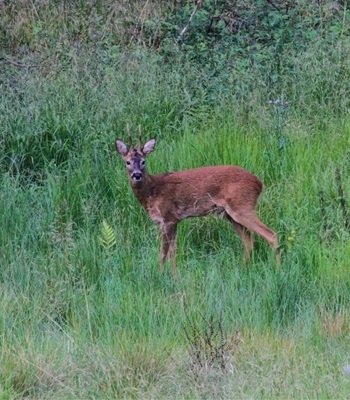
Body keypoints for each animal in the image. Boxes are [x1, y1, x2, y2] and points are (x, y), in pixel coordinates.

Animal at [116, 130, 280, 276]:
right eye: (127, 162)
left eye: (144, 161)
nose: (137, 175)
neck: (153, 191)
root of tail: (259, 183)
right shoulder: (171, 221)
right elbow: (172, 252)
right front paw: (172, 277)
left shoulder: (168, 217)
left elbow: (164, 253)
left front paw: (162, 277)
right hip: (231, 214)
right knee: (248, 240)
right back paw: (243, 269)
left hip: (242, 206)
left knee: (271, 235)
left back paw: (277, 270)